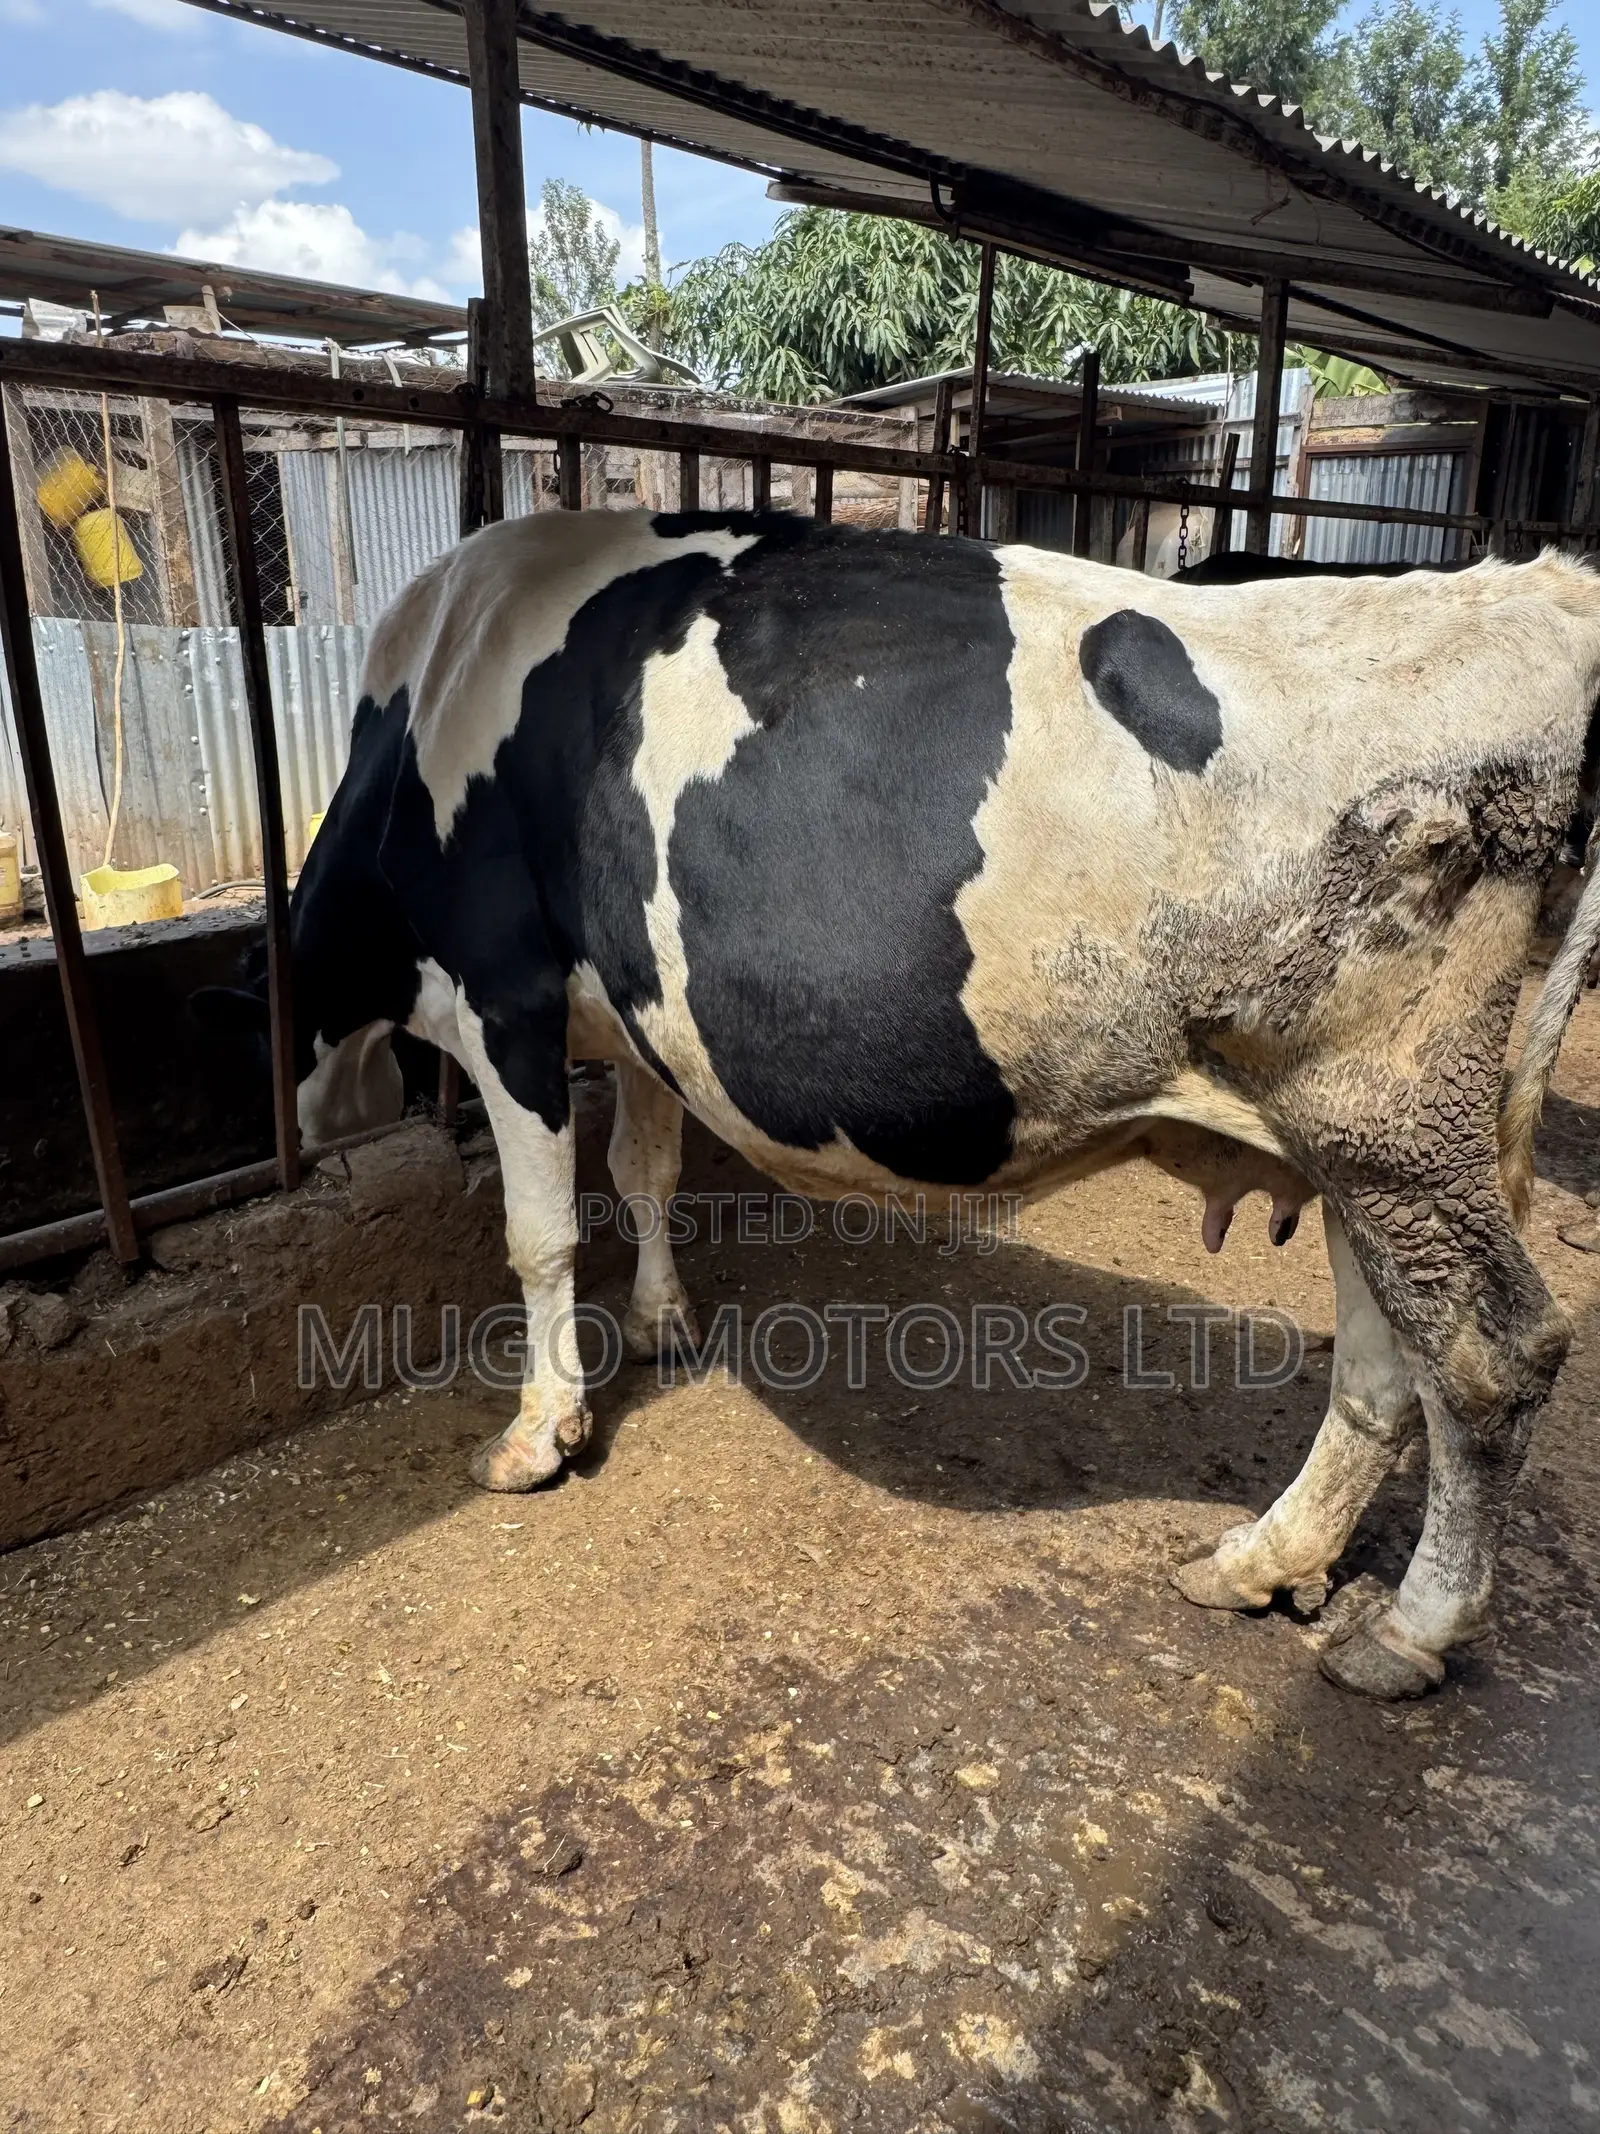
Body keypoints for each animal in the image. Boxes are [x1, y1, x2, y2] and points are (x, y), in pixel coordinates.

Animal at [200, 510, 1600, 1701]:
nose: (302, 1124)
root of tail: (1533, 588)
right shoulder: (632, 1012)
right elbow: (644, 1171)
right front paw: (661, 1322)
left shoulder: (505, 994)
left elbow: (537, 1233)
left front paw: (540, 1433)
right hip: (1358, 1134)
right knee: (1383, 1357)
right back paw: (1262, 1560)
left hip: (1388, 1112)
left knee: (1489, 1350)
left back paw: (1408, 1632)